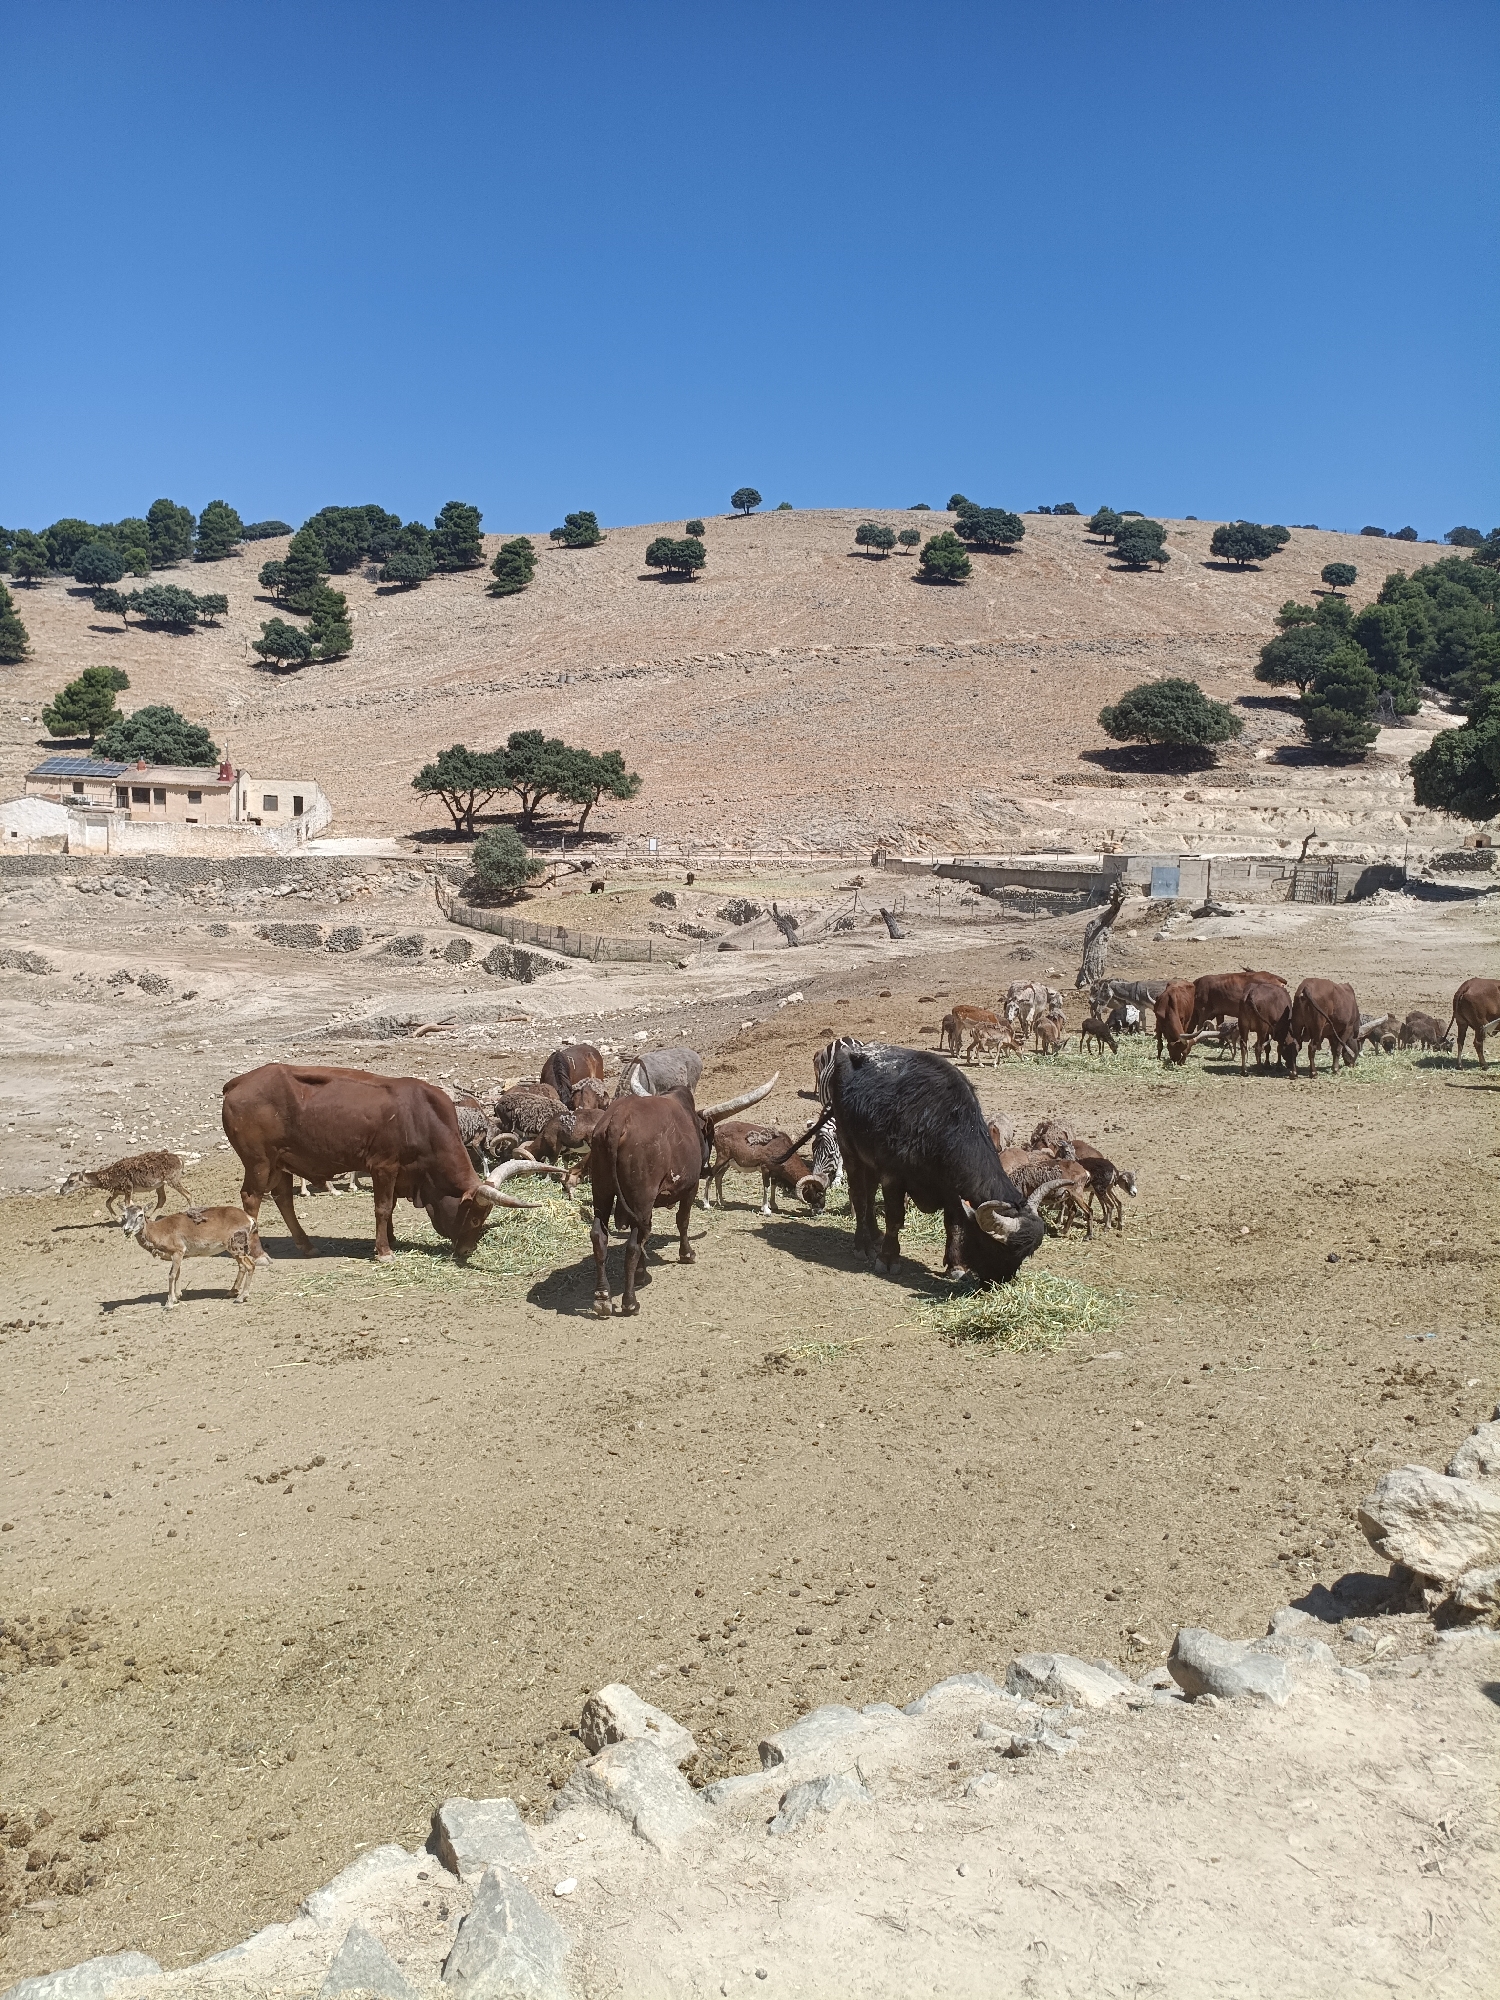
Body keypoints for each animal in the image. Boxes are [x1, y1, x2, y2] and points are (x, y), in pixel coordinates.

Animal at [62, 1149, 192, 1218]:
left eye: (71, 1181)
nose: (61, 1190)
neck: (109, 1175)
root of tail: (179, 1159)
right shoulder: (118, 1191)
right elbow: (108, 1203)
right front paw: (120, 1220)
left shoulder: (128, 1188)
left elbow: (128, 1204)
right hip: (160, 1185)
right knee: (162, 1199)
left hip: (173, 1181)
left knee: (188, 1194)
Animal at [121, 1203, 270, 1308]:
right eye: (124, 1215)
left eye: (140, 1214)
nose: (127, 1230)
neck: (160, 1230)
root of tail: (249, 1219)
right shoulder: (178, 1255)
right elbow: (177, 1274)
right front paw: (176, 1297)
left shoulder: (178, 1251)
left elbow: (171, 1275)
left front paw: (169, 1303)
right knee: (242, 1266)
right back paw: (231, 1293)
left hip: (234, 1247)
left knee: (250, 1265)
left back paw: (240, 1298)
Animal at [222, 1064, 559, 1263]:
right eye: (476, 1219)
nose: (468, 1250)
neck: (421, 1117)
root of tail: (237, 1083)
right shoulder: (384, 1166)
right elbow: (383, 1208)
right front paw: (384, 1251)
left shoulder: (401, 1173)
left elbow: (392, 1207)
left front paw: (392, 1240)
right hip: (259, 1162)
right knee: (251, 1200)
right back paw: (259, 1254)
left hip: (281, 1162)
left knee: (284, 1200)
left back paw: (305, 1245)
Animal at [587, 1075, 777, 1316]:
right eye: (709, 1136)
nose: (706, 1169)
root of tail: (616, 1120)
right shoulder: (690, 1187)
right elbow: (682, 1221)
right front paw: (687, 1254)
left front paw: (641, 1274)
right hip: (641, 1198)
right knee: (631, 1246)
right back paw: (630, 1302)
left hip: (602, 1192)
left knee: (599, 1237)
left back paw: (602, 1296)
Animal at [822, 1043, 1057, 1282]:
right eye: (997, 1247)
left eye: (1024, 1255)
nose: (998, 1281)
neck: (934, 1125)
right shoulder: (892, 1178)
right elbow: (895, 1219)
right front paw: (888, 1259)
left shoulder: (951, 1188)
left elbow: (953, 1223)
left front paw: (955, 1265)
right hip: (849, 1149)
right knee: (860, 1196)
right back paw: (863, 1244)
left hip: (869, 1159)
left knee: (869, 1194)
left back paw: (875, 1234)